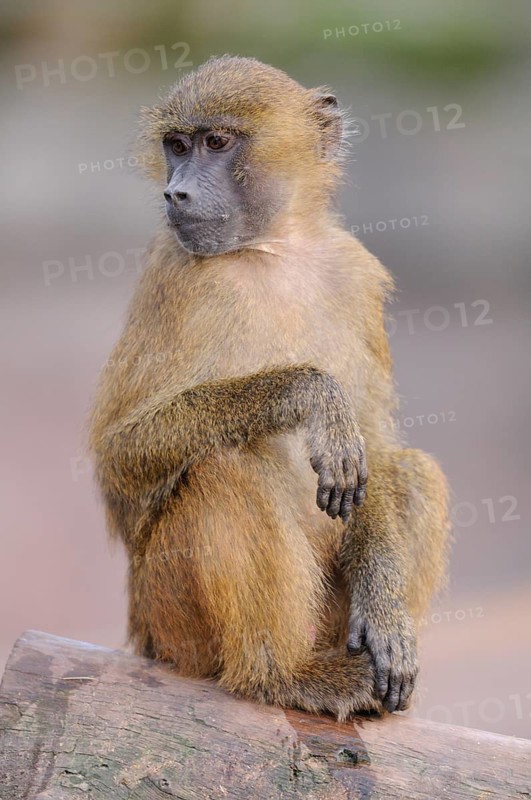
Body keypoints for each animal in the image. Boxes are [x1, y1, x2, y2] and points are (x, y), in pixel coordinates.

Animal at [88, 55, 450, 721]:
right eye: (176, 145)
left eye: (216, 142)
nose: (176, 192)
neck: (272, 249)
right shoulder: (174, 278)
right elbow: (119, 455)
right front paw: (311, 396)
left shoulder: (355, 274)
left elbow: (378, 448)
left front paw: (384, 611)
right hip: (170, 618)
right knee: (224, 464)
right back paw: (280, 675)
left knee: (414, 471)